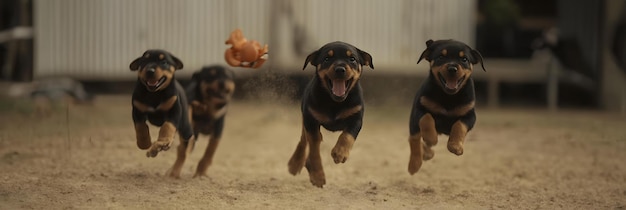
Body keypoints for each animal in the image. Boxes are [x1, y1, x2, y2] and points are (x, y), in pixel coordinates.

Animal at [129, 48, 193, 177]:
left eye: (164, 62)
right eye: (144, 61)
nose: (150, 71)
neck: (155, 94)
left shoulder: (174, 110)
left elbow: (168, 126)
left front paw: (163, 140)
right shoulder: (137, 109)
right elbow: (140, 127)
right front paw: (144, 143)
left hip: (185, 127)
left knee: (184, 149)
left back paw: (174, 171)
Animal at [286, 41, 372, 187]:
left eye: (352, 59)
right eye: (327, 58)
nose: (340, 69)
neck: (334, 102)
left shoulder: (356, 117)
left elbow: (347, 135)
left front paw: (340, 153)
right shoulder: (310, 119)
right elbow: (314, 147)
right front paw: (317, 176)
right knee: (303, 140)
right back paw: (294, 164)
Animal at [408, 39, 486, 174]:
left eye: (464, 59)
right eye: (441, 57)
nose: (452, 68)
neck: (448, 96)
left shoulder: (469, 115)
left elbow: (459, 125)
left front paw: (455, 146)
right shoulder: (419, 108)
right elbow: (426, 119)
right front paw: (431, 138)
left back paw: (427, 153)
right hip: (413, 123)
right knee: (414, 139)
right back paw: (415, 163)